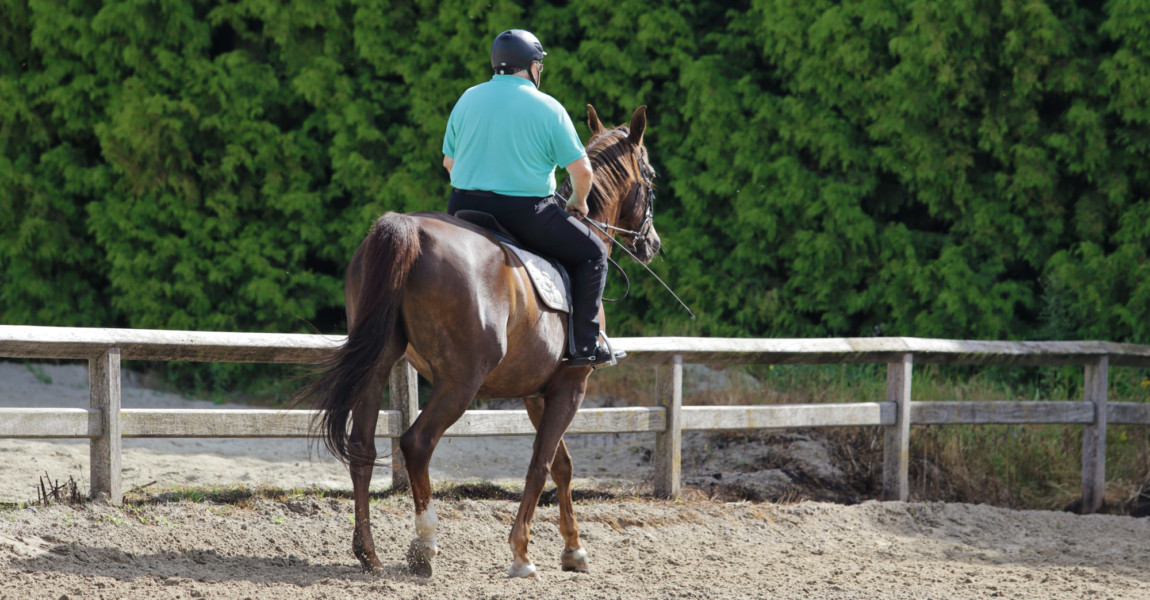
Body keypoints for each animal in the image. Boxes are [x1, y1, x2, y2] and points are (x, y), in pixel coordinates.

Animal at [301, 102, 662, 574]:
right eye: (651, 177)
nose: (653, 243)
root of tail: (408, 229)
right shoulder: (572, 384)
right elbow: (541, 463)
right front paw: (522, 552)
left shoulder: (537, 390)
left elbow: (562, 465)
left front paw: (573, 549)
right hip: (461, 381)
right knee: (416, 443)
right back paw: (424, 545)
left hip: (377, 364)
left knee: (362, 448)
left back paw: (369, 554)